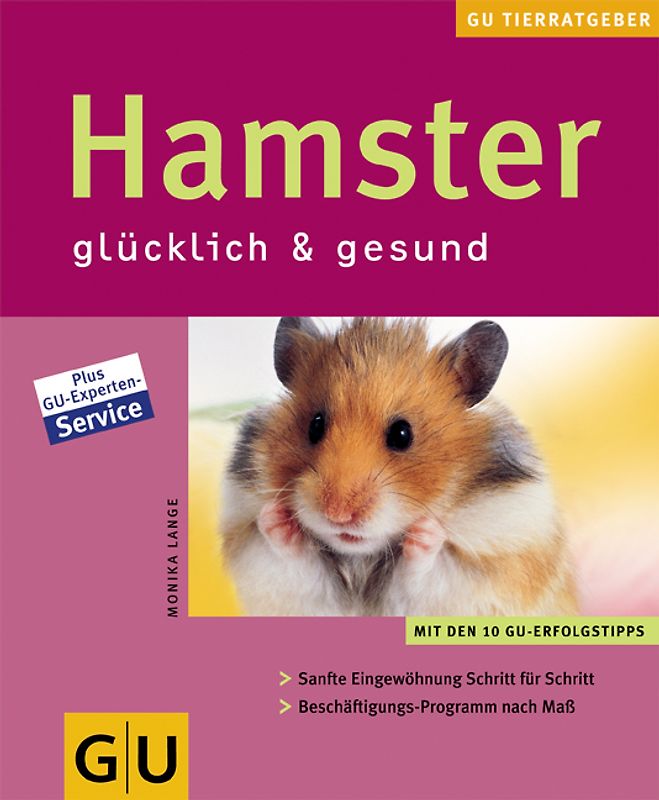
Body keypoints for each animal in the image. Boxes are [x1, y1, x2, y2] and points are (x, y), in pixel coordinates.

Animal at [220, 317, 577, 616]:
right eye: (315, 425)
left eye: (402, 434)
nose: (337, 514)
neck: (362, 558)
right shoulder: (281, 580)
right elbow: (289, 556)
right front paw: (276, 518)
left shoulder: (488, 571)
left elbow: (424, 570)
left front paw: (426, 531)